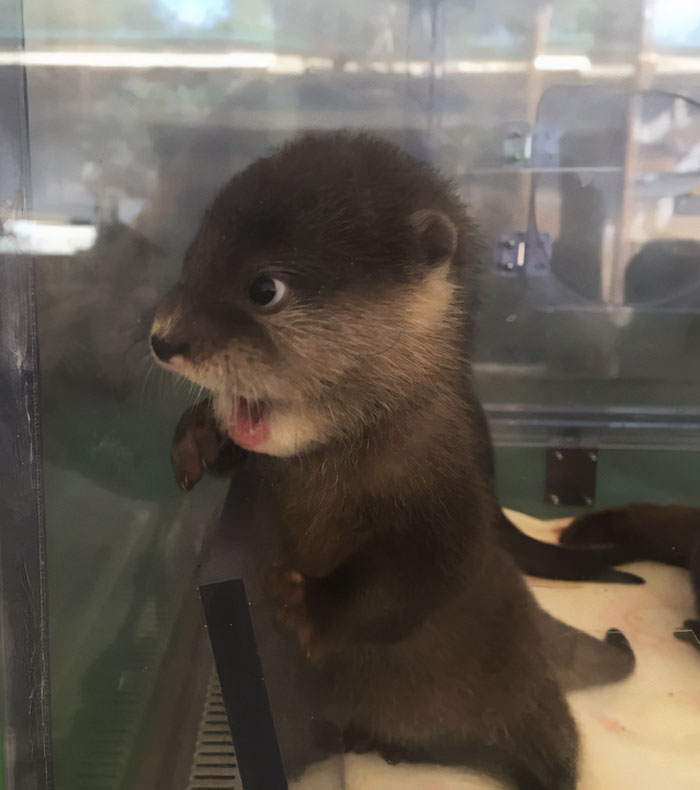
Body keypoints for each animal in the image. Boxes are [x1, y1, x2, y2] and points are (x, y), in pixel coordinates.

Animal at [151, 131, 635, 789]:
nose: (162, 339)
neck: (352, 463)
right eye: (190, 264)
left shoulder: (451, 503)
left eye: (264, 289)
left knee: (558, 752)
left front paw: (310, 605)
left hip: (528, 696)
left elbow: (417, 581)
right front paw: (199, 435)